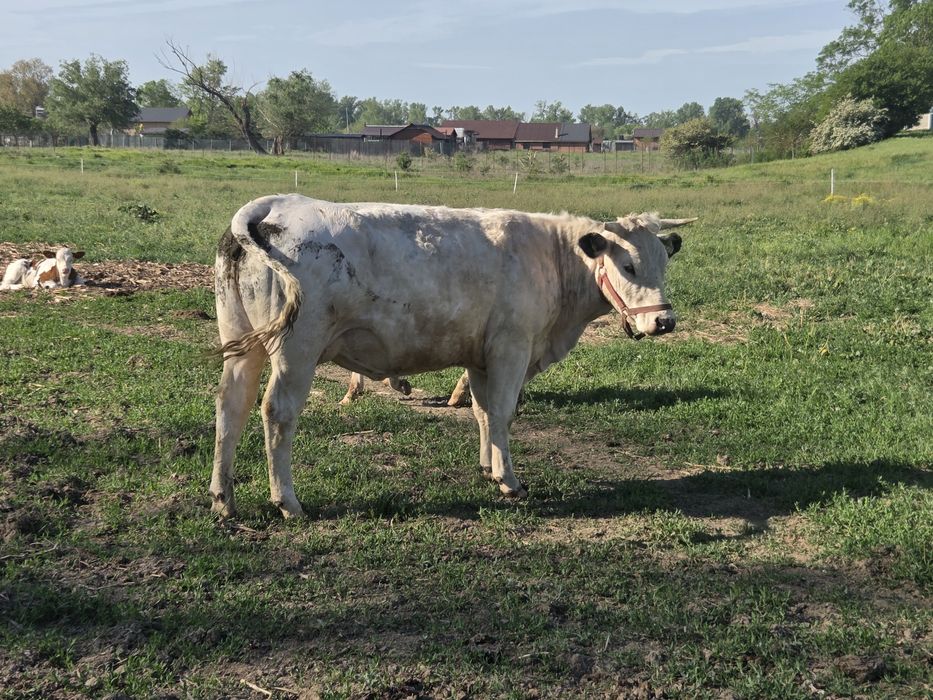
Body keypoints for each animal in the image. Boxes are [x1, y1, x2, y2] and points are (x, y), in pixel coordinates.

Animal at [212, 194, 693, 518]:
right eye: (628, 266)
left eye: (663, 263)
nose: (663, 322)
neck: (551, 258)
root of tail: (271, 205)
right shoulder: (511, 348)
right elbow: (502, 412)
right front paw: (509, 481)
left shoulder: (480, 357)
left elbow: (482, 412)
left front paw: (487, 467)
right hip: (298, 350)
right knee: (277, 413)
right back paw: (287, 501)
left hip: (242, 343)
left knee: (231, 406)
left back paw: (223, 499)